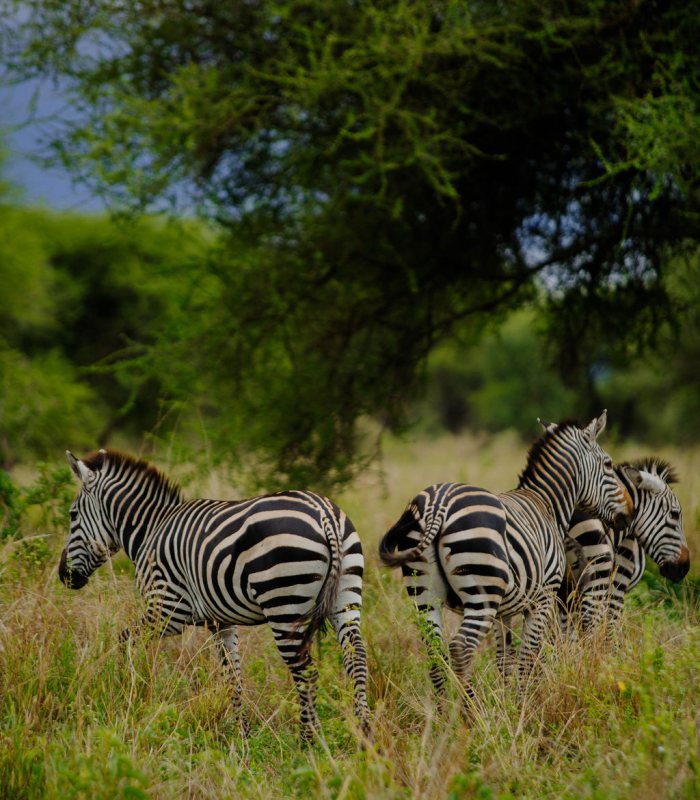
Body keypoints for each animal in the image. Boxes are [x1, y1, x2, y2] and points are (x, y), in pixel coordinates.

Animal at [59, 448, 370, 743]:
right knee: (356, 658)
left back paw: (308, 740)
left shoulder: (167, 609)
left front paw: (127, 687)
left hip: (283, 603)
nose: (64, 575)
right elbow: (233, 675)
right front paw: (243, 735)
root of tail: (324, 514)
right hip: (345, 596)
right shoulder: (220, 622)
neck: (150, 530)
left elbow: (123, 640)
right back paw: (364, 733)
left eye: (72, 515)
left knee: (305, 670)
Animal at [378, 412, 632, 711]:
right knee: (461, 647)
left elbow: (505, 659)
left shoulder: (505, 611)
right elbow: (528, 656)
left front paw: (506, 702)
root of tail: (438, 504)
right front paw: (522, 705)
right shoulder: (542, 597)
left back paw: (442, 715)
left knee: (435, 650)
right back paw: (472, 713)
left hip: (424, 593)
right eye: (608, 464)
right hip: (481, 592)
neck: (547, 505)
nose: (630, 511)